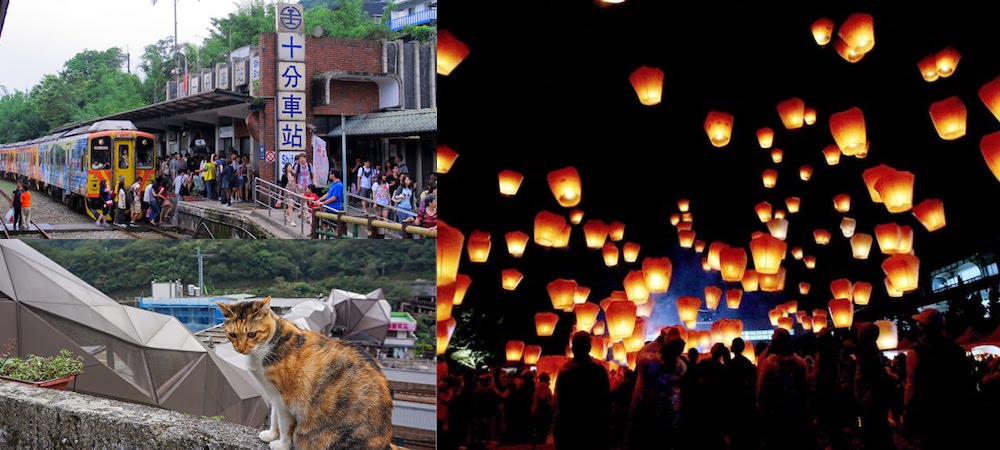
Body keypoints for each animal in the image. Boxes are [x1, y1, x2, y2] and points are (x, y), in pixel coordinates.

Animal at [217, 298, 396, 448]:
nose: (240, 349)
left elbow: (285, 426)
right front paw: (271, 435)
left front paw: (282, 445)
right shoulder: (274, 396)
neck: (265, 349)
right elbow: (274, 418)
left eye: (252, 334)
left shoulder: (284, 401)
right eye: (232, 334)